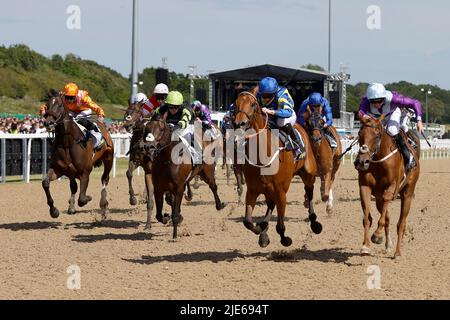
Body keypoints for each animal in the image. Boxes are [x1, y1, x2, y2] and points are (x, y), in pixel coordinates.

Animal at [41, 91, 114, 219]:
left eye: (60, 105)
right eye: (47, 105)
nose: (48, 123)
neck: (67, 143)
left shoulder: (85, 172)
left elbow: (82, 199)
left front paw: (88, 197)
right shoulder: (57, 169)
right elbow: (45, 183)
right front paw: (54, 211)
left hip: (109, 158)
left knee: (105, 179)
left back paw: (103, 203)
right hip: (71, 172)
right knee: (73, 186)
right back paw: (71, 207)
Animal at [234, 87, 322, 248]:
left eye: (253, 104)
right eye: (236, 104)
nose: (240, 123)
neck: (263, 154)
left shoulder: (281, 191)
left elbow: (280, 224)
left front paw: (285, 239)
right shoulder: (253, 190)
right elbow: (247, 222)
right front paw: (260, 230)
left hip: (308, 174)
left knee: (309, 193)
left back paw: (314, 223)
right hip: (268, 188)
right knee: (270, 204)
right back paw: (263, 231)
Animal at [354, 114, 420, 256]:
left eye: (377, 134)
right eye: (359, 133)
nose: (362, 161)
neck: (378, 162)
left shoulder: (391, 188)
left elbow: (384, 212)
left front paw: (377, 235)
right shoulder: (364, 187)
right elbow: (367, 218)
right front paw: (366, 245)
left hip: (407, 193)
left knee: (401, 223)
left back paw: (397, 252)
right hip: (378, 198)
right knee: (388, 218)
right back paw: (388, 245)